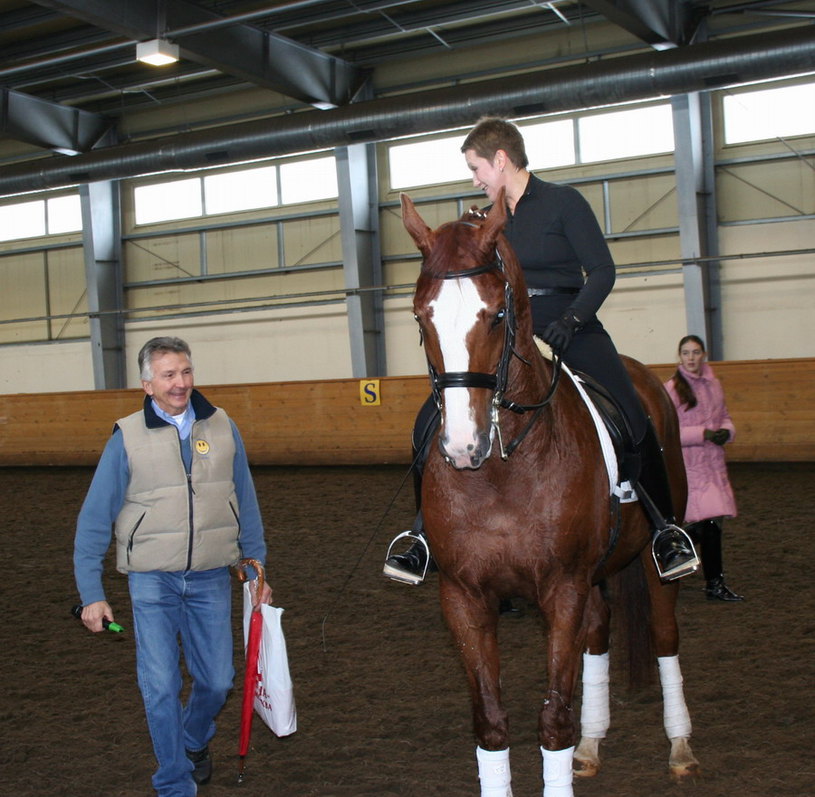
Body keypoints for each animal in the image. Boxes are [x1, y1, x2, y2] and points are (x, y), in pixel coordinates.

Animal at [404, 190, 700, 792]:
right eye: (422, 318)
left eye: (496, 315)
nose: (463, 446)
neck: (500, 470)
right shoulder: (464, 596)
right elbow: (491, 724)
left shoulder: (561, 587)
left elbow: (553, 720)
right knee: (599, 631)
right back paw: (592, 742)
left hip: (653, 561)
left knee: (664, 635)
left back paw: (679, 746)